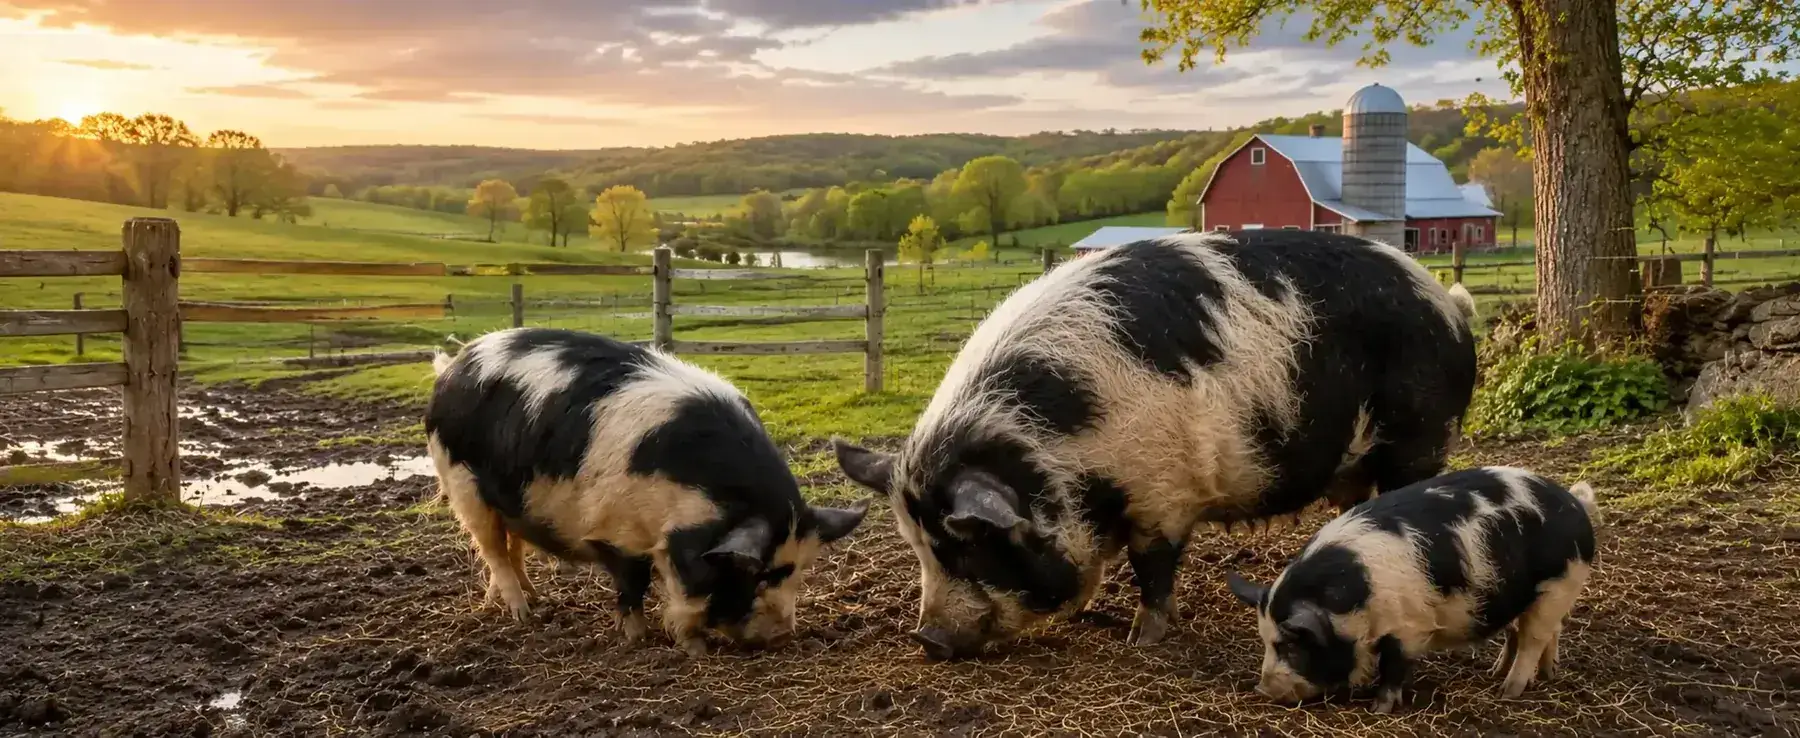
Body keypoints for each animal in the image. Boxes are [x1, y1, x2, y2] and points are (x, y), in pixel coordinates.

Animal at [424, 327, 868, 656]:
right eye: (754, 575)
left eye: (800, 570)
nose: (781, 636)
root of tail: (453, 367)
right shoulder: (615, 530)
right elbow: (633, 582)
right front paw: (642, 639)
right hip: (462, 485)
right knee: (493, 549)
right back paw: (522, 614)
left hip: (507, 499)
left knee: (511, 545)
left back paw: (529, 600)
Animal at [833, 229, 1480, 660]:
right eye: (917, 547)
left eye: (966, 545)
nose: (926, 638)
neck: (1061, 446)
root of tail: (1448, 303)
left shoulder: (1162, 494)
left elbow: (1153, 565)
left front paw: (1140, 639)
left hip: (1423, 439)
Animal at [1226, 466, 1602, 712]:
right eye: (1266, 641)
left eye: (1292, 645)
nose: (1262, 689)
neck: (1357, 592)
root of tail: (1576, 505)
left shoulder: (1409, 626)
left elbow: (1393, 664)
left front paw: (1380, 708)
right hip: (1528, 594)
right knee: (1532, 632)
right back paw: (1523, 673)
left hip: (1559, 585)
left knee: (1533, 638)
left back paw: (1508, 692)